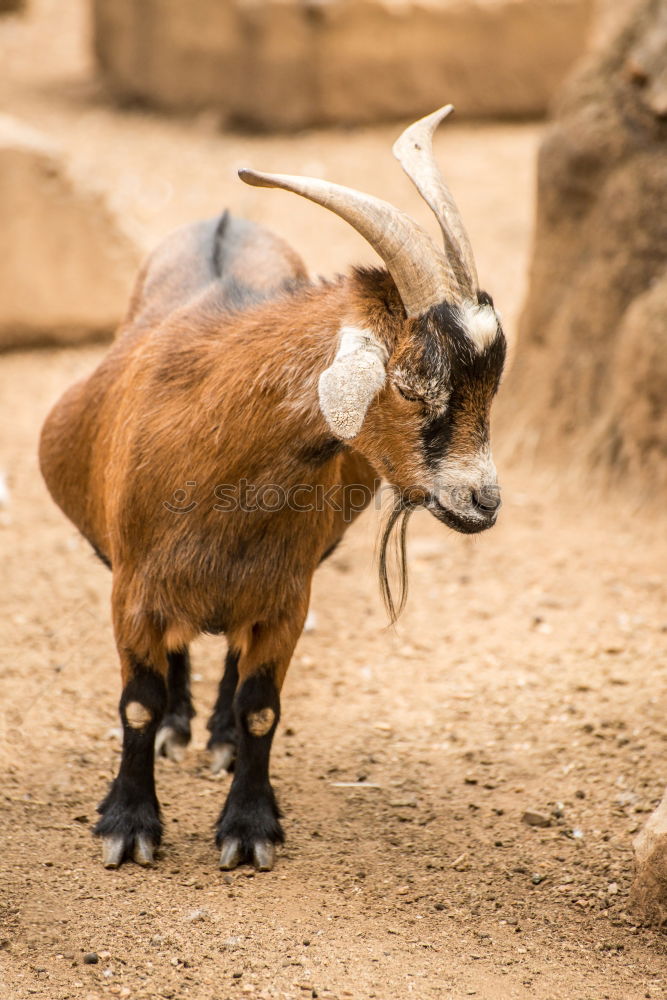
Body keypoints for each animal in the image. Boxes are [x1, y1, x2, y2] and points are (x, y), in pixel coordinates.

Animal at [37, 109, 506, 872]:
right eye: (411, 383)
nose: (483, 502)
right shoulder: (131, 588)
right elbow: (136, 702)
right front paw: (129, 825)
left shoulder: (286, 595)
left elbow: (262, 708)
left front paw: (248, 826)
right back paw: (178, 726)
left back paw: (219, 737)